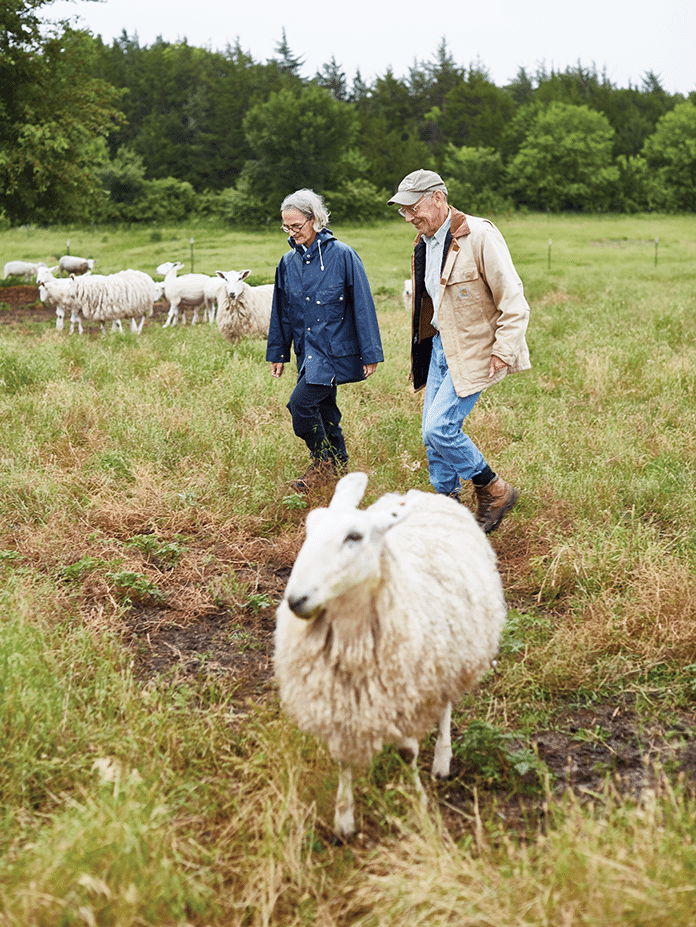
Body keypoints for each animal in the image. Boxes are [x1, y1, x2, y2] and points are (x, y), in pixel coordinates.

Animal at [272, 472, 506, 840]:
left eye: (354, 536)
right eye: (310, 526)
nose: (297, 600)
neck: (353, 643)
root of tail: (420, 494)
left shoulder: (405, 696)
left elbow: (408, 753)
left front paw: (417, 801)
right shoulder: (339, 707)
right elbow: (342, 760)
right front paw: (344, 821)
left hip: (446, 660)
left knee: (444, 708)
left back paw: (442, 760)